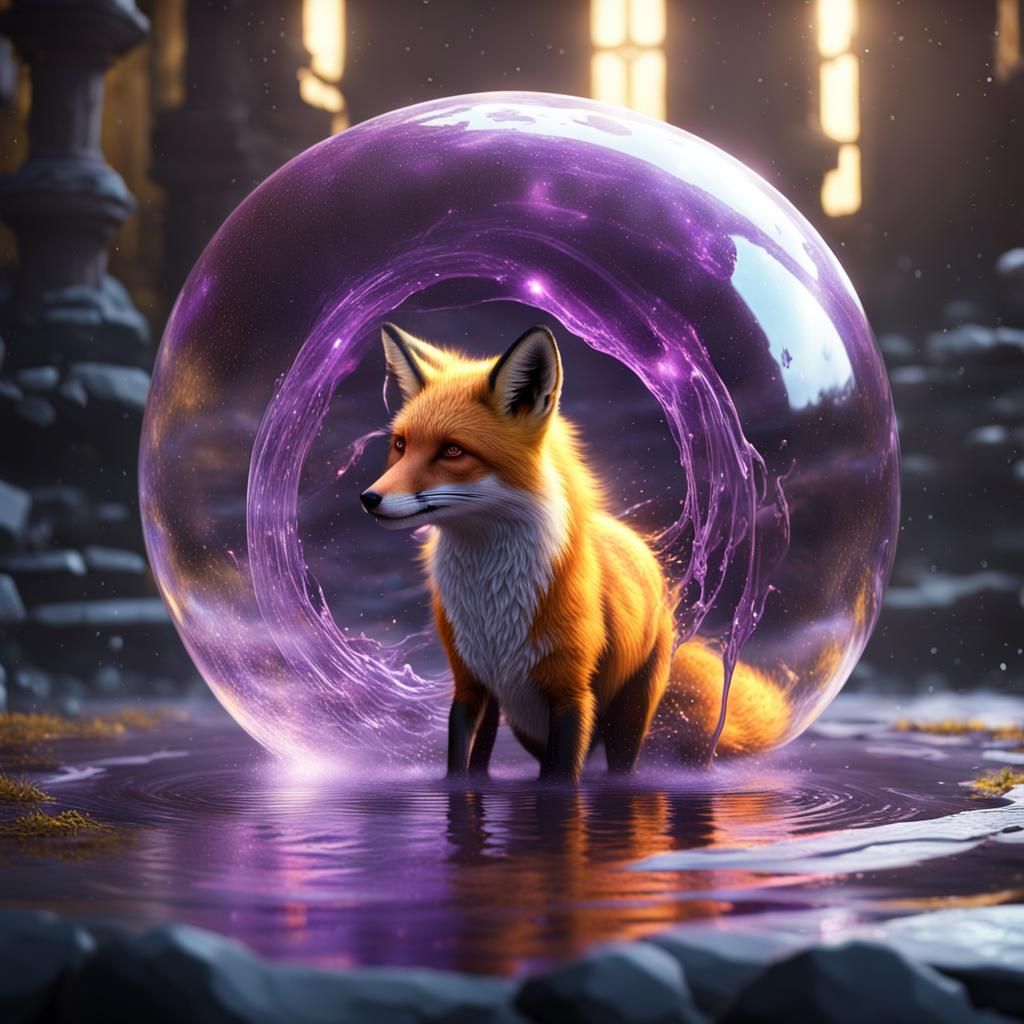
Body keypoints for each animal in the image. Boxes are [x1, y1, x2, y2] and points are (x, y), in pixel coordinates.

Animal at [361, 323, 791, 782]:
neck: (493, 607)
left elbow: (562, 779)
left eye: (453, 450)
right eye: (401, 445)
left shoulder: (572, 694)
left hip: (627, 718)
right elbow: (461, 765)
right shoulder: (470, 686)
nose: (369, 498)